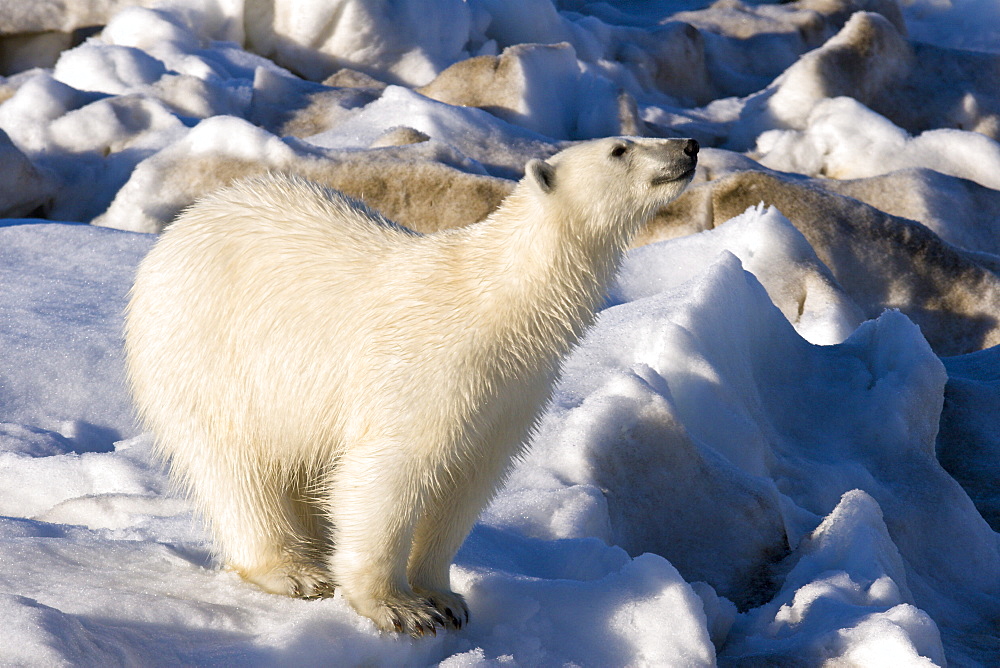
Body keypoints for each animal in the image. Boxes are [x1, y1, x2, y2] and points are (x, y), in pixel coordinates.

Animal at [125, 137, 700, 636]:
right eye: (620, 148)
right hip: (206, 356)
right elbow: (388, 474)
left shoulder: (511, 393)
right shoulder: (424, 369)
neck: (497, 307)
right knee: (235, 467)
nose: (690, 146)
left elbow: (466, 484)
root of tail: (181, 226)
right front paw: (398, 609)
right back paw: (294, 570)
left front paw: (444, 597)